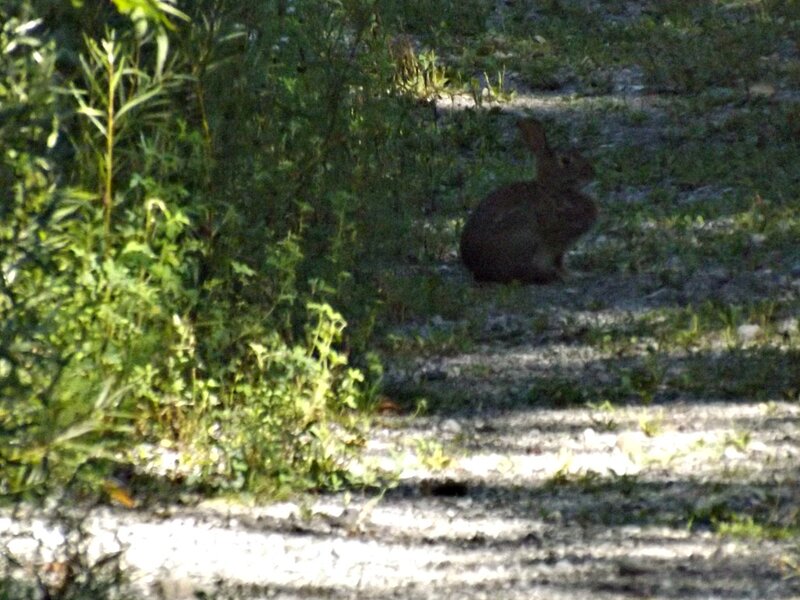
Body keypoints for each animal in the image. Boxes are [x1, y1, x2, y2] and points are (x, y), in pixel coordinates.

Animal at [460, 118, 598, 284]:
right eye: (565, 161)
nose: (591, 173)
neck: (553, 189)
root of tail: (477, 269)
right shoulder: (557, 240)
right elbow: (559, 263)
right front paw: (572, 276)